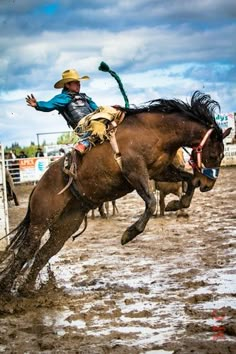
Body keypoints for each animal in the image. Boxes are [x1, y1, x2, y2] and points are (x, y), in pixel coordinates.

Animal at [0, 91, 230, 294]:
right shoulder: (134, 171)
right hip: (42, 218)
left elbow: (188, 180)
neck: (155, 131)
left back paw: (26, 290)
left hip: (66, 224)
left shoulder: (160, 170)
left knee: (44, 253)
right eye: (214, 154)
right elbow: (151, 203)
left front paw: (177, 204)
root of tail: (37, 187)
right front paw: (129, 233)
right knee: (26, 250)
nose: (208, 184)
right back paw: (8, 289)